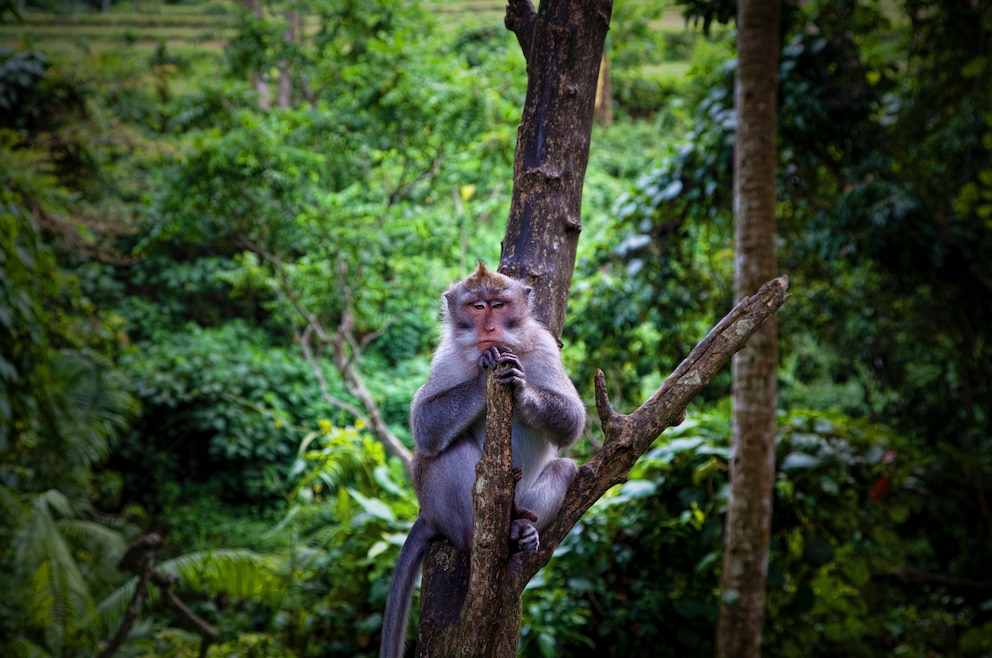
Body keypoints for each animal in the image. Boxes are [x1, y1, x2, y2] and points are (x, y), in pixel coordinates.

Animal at [378, 260, 580, 656]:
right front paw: (483, 371)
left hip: (519, 498)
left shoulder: (545, 346)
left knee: (564, 468)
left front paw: (521, 387)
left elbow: (573, 420)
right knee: (443, 453)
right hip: (443, 510)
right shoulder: (445, 355)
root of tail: (429, 516)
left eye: (498, 305)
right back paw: (477, 535)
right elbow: (423, 424)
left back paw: (521, 533)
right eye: (477, 306)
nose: (489, 329)